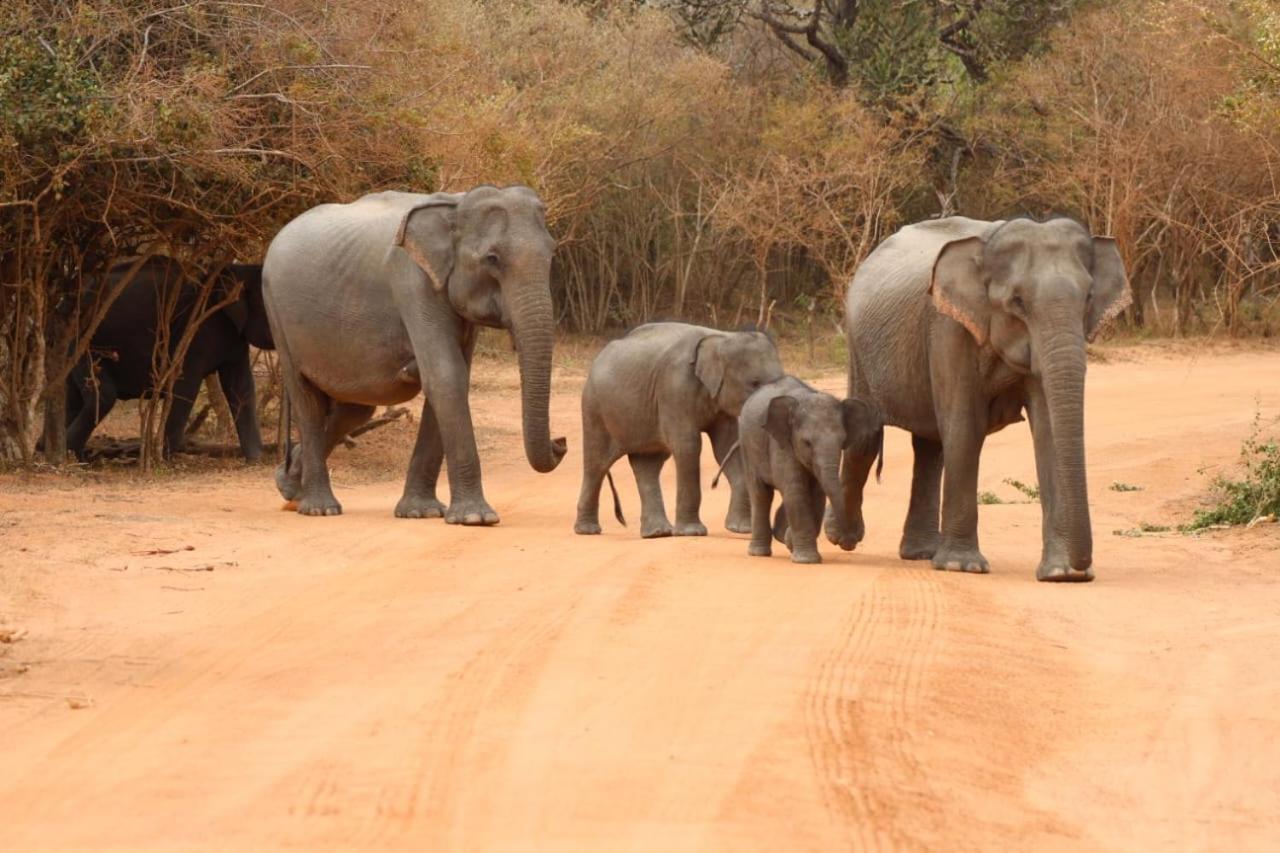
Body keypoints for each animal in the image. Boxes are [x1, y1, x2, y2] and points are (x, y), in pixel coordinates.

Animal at [64, 256, 272, 461]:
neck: (238, 271)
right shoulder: (195, 331)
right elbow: (186, 385)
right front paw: (166, 458)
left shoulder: (234, 336)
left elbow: (241, 386)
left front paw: (256, 459)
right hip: (82, 339)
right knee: (102, 395)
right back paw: (71, 455)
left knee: (73, 397)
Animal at [263, 185, 565, 517]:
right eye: (492, 258)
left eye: (552, 253)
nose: (561, 442)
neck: (455, 205)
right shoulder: (412, 280)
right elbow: (446, 376)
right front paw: (476, 517)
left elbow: (451, 378)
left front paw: (422, 513)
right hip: (277, 313)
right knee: (308, 400)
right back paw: (320, 508)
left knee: (355, 409)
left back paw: (288, 487)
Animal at [578, 322, 778, 535]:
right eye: (754, 383)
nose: (713, 484)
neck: (722, 337)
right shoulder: (674, 387)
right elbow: (688, 446)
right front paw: (692, 532)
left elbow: (724, 446)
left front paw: (741, 529)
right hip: (594, 409)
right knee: (597, 464)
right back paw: (588, 530)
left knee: (647, 465)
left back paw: (658, 533)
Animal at [737, 376, 885, 560]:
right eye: (807, 443)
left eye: (842, 442)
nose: (849, 543)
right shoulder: (782, 445)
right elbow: (796, 492)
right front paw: (806, 559)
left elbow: (817, 494)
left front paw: (792, 545)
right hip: (747, 445)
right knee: (760, 494)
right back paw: (759, 553)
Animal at [829, 216, 1131, 581]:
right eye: (1017, 301)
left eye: (1088, 298)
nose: (1082, 567)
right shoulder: (949, 327)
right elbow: (965, 427)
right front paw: (963, 567)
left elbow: (1046, 431)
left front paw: (1060, 574)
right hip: (858, 349)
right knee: (867, 437)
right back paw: (843, 538)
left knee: (929, 445)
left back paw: (920, 553)